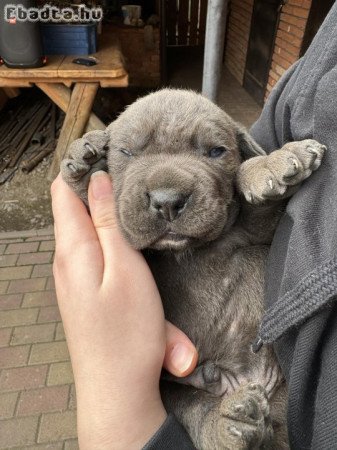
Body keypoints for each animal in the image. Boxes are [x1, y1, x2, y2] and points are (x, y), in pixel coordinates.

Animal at [61, 89, 326, 448]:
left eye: (216, 151)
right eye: (126, 152)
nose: (167, 200)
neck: (186, 251)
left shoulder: (256, 232)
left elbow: (259, 201)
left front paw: (272, 162)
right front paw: (85, 166)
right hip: (173, 390)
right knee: (194, 407)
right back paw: (228, 422)